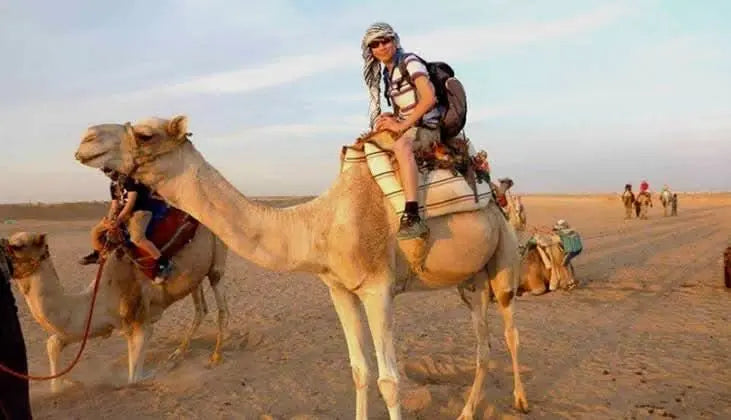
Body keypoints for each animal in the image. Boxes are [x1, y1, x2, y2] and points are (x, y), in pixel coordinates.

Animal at [6, 229, 228, 393]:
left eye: (18, 246)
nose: (2, 249)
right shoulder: (93, 325)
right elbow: (53, 343)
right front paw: (64, 385)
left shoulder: (140, 322)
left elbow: (133, 379)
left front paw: (152, 375)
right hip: (195, 277)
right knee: (200, 309)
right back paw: (177, 355)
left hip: (216, 261)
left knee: (221, 306)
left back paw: (215, 358)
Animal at [74, 115, 528, 419]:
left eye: (145, 134)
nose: (86, 138)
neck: (321, 225)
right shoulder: (340, 289)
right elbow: (360, 372)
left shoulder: (378, 290)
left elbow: (389, 380)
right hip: (469, 282)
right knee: (483, 345)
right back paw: (467, 411)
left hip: (504, 257)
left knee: (509, 331)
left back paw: (521, 400)